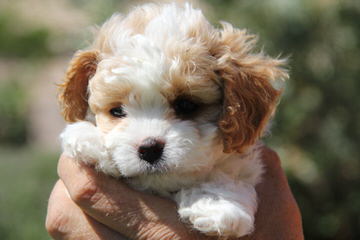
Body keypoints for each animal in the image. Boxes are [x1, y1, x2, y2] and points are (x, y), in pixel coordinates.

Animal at [59, 2, 288, 238]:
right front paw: (87, 140)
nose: (149, 148)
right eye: (117, 111)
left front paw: (218, 204)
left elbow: (230, 174)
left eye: (186, 105)